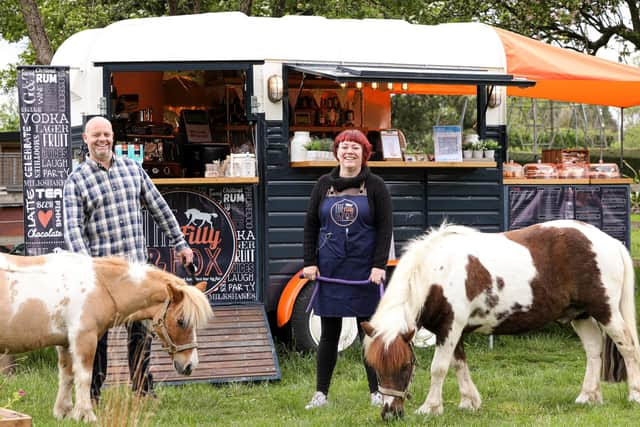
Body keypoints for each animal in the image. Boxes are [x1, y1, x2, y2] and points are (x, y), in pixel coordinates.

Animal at [0, 252, 215, 422]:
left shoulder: (66, 342)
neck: (100, 285)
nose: (190, 365)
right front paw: (85, 414)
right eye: (181, 320)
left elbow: (67, 376)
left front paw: (64, 412)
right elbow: (84, 377)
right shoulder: (84, 338)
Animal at [362, 221, 640, 422]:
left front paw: (431, 407)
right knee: (593, 350)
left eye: (406, 366)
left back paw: (633, 395)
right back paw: (588, 396)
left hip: (605, 311)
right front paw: (469, 402)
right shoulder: (453, 331)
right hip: (580, 315)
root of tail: (610, 241)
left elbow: (438, 368)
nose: (390, 414)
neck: (437, 272)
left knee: (627, 346)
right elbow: (459, 364)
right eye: (375, 367)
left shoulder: (450, 328)